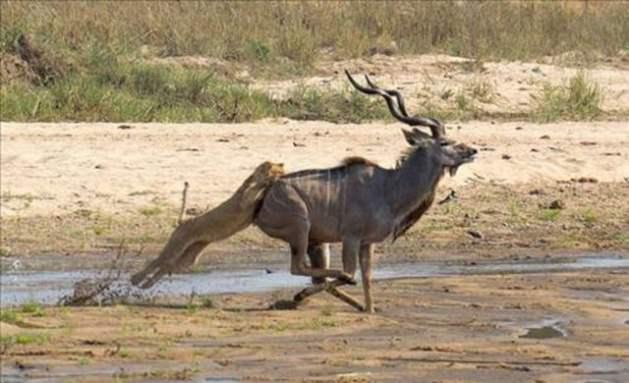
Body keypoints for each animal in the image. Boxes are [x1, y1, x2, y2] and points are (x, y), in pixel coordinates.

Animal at [132, 160, 284, 290]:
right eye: (279, 172)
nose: (283, 176)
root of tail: (183, 222)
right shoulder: (244, 201)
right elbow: (257, 188)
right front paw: (269, 181)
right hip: (177, 245)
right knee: (157, 261)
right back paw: (135, 279)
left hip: (189, 258)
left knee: (167, 267)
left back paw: (146, 285)